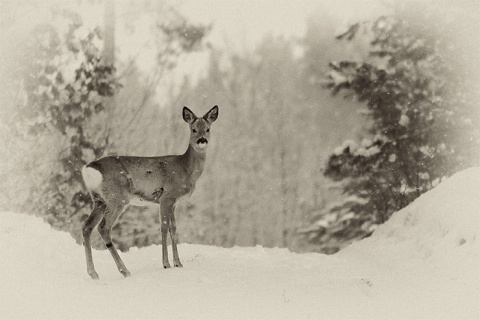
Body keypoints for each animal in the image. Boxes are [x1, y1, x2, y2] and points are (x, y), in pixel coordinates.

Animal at [81, 106, 219, 278]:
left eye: (207, 129)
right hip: (117, 198)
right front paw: (166, 264)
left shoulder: (174, 202)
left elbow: (174, 229)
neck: (185, 169)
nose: (202, 140)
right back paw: (124, 270)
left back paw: (93, 273)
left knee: (87, 227)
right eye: (193, 129)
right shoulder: (166, 196)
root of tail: (89, 169)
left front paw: (178, 263)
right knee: (103, 227)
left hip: (99, 200)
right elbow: (164, 227)